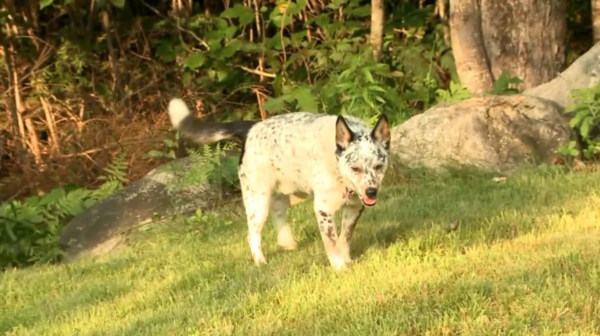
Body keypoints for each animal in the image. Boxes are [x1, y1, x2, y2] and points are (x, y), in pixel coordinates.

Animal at [168, 98, 394, 270]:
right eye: (355, 168)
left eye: (379, 165)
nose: (371, 191)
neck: (337, 165)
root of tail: (250, 128)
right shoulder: (323, 210)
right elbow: (331, 242)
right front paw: (340, 267)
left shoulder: (354, 207)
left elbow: (344, 237)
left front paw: (347, 259)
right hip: (257, 202)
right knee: (253, 235)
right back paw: (260, 262)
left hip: (284, 195)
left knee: (278, 214)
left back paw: (288, 244)